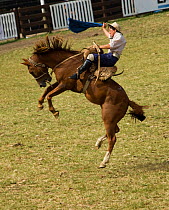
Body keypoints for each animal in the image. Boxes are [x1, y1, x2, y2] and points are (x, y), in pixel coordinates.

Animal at [21, 35, 146, 167]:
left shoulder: (65, 85)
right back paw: (98, 143)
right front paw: (40, 104)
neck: (66, 63)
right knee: (115, 131)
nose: (42, 83)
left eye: (31, 71)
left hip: (108, 117)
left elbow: (50, 95)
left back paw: (104, 161)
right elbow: (48, 90)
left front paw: (54, 111)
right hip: (111, 118)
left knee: (112, 138)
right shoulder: (60, 83)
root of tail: (127, 100)